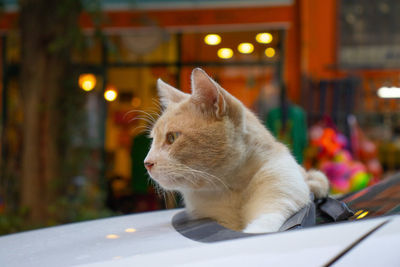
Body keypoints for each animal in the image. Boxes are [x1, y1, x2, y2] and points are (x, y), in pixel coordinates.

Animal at [144, 68, 328, 233]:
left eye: (172, 137)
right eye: (153, 140)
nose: (147, 163)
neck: (230, 189)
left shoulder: (280, 196)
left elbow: (261, 227)